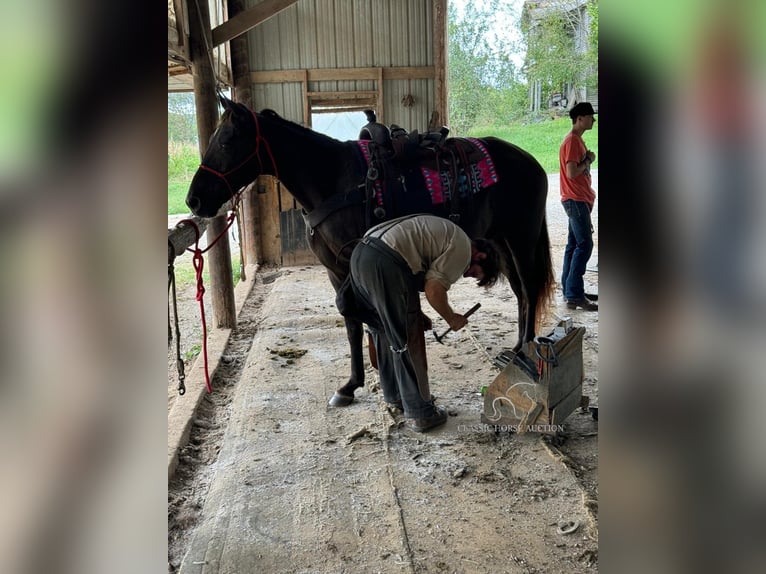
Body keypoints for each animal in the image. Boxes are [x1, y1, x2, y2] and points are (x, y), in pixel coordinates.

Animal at [188, 97, 556, 408]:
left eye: (226, 141)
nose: (194, 200)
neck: (334, 179)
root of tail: (531, 162)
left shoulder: (352, 262)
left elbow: (358, 311)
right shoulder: (335, 270)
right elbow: (350, 322)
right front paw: (351, 384)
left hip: (521, 240)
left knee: (528, 289)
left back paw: (523, 354)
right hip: (501, 241)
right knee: (521, 293)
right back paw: (514, 350)